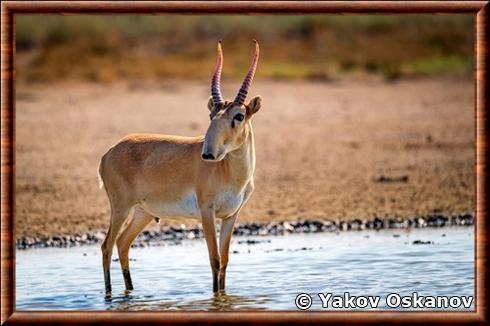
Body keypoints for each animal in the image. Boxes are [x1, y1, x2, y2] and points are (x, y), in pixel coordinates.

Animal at [97, 40, 262, 298]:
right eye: (211, 115)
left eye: (239, 115)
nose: (208, 154)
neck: (230, 173)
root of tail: (109, 152)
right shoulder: (207, 212)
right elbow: (214, 259)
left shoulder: (231, 216)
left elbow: (225, 261)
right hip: (121, 208)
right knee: (107, 245)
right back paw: (109, 295)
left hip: (143, 213)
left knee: (123, 243)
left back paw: (130, 291)